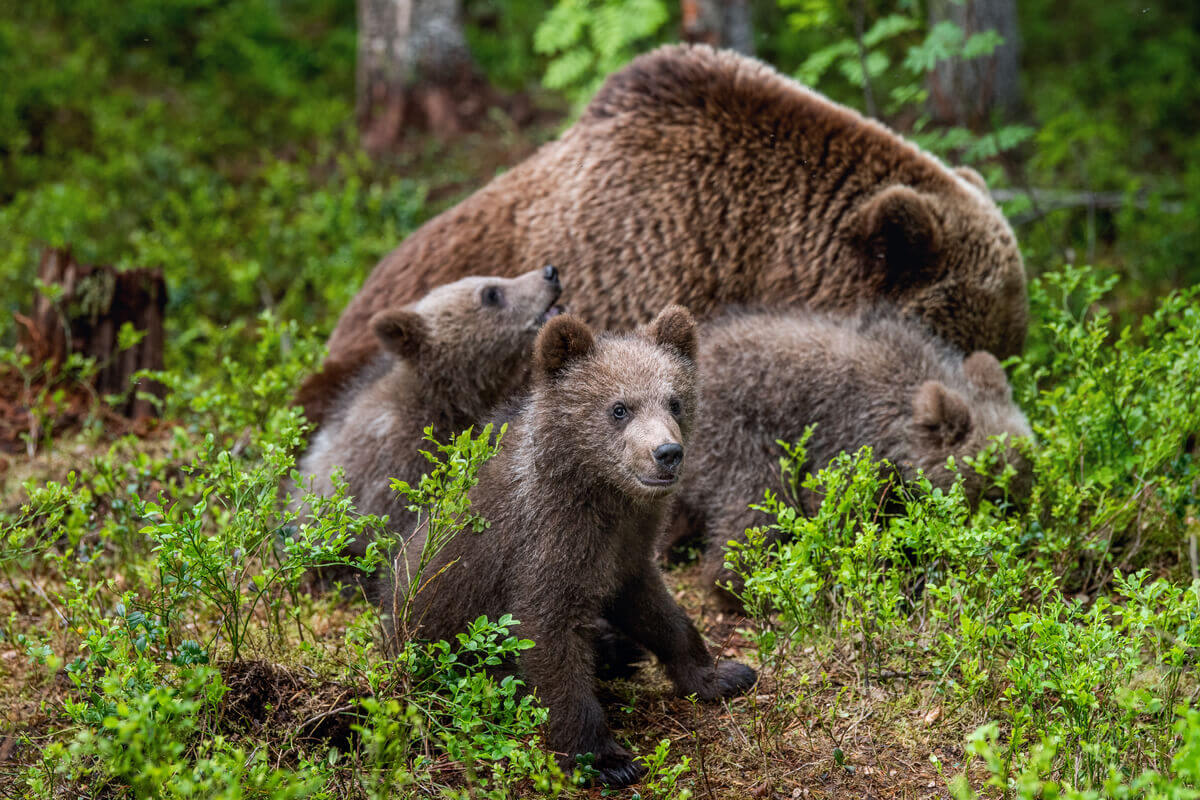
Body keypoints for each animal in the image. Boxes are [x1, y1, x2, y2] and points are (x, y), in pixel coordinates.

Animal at [388, 307, 757, 787]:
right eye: (619, 408)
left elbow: (656, 609)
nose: (667, 452)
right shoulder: (546, 541)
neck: (601, 493)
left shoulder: (627, 547)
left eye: (675, 401)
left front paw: (722, 673)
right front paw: (605, 758)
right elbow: (549, 635)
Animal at [674, 305, 1034, 608]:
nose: (1020, 538)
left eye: (1026, 479)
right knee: (754, 509)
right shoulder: (849, 441)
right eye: (994, 490)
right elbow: (844, 515)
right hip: (737, 438)